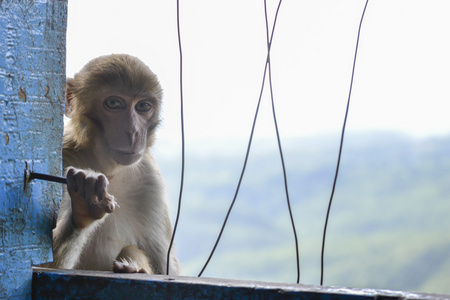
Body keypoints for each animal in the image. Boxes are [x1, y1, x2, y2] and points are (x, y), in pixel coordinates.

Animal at [43, 53, 179, 274]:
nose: (133, 132)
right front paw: (84, 207)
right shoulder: (62, 159)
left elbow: (166, 269)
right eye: (114, 103)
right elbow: (44, 265)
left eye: (143, 106)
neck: (108, 169)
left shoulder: (151, 180)